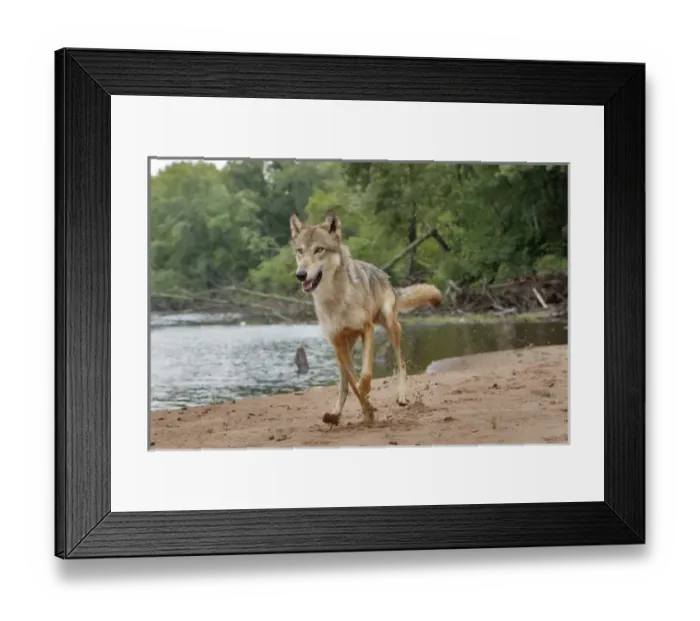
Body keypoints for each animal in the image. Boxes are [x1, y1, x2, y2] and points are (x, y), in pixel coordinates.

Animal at [290, 210, 442, 427]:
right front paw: (366, 409)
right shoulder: (338, 344)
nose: (300, 275)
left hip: (390, 326)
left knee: (402, 364)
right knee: (343, 385)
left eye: (319, 249)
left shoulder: (366, 330)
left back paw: (401, 397)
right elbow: (352, 384)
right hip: (344, 349)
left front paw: (367, 401)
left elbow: (366, 375)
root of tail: (385, 276)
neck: (336, 299)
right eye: (300, 251)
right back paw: (335, 414)